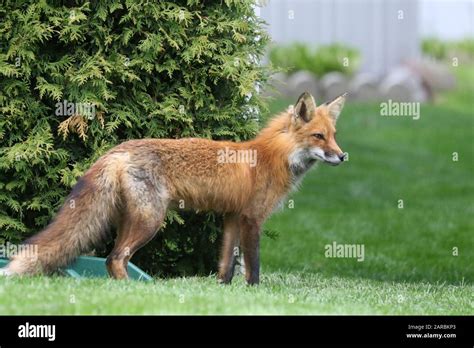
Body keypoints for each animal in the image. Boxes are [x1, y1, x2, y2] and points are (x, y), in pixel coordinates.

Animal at [0, 92, 348, 286]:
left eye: (333, 136)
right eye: (318, 137)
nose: (343, 156)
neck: (271, 156)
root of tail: (117, 150)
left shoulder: (232, 217)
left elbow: (225, 265)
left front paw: (224, 293)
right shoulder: (252, 218)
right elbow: (253, 265)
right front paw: (254, 292)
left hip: (132, 219)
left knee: (115, 258)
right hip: (150, 220)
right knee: (115, 258)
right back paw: (137, 291)